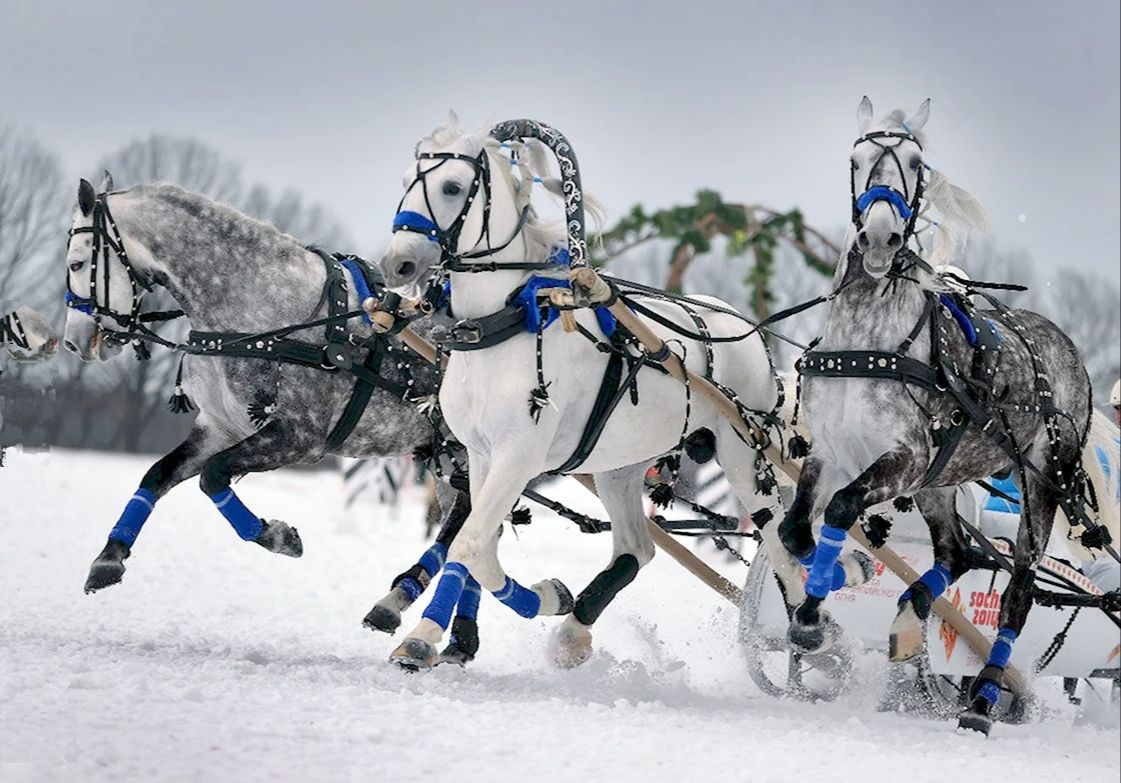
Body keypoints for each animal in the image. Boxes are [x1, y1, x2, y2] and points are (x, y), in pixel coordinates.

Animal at [381, 116, 869, 664]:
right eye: (405, 180)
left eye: (451, 186)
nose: (397, 266)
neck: (505, 326)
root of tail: (744, 328)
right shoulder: (483, 455)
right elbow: (473, 544)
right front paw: (436, 632)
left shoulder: (518, 456)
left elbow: (470, 544)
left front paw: (540, 596)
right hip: (621, 466)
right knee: (638, 546)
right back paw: (574, 631)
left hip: (743, 452)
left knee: (780, 541)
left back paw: (813, 629)